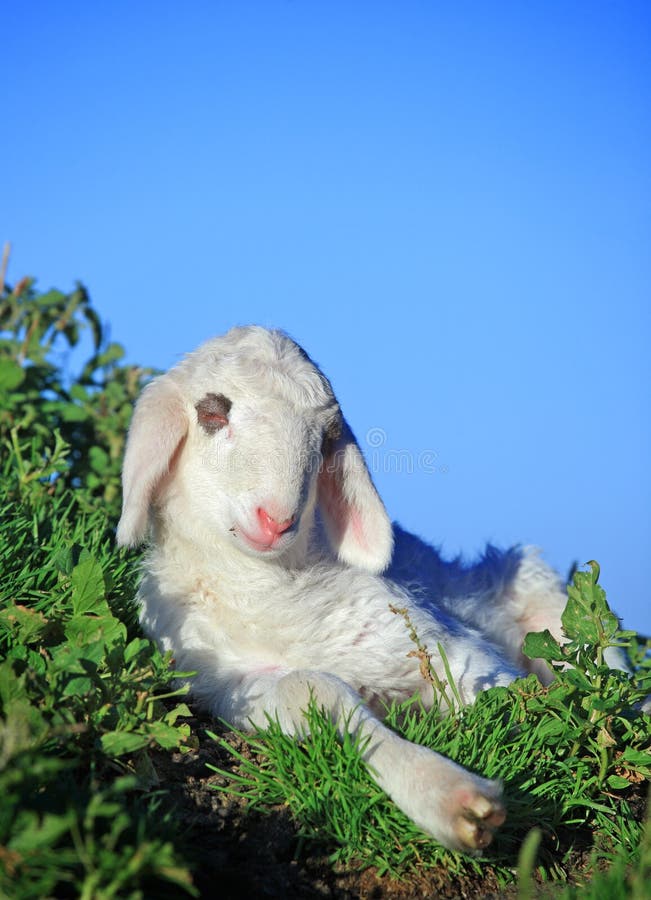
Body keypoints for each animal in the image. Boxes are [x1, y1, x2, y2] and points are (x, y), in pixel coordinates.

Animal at [117, 326, 576, 856]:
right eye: (212, 413)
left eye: (325, 439)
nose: (276, 521)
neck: (269, 587)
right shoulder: (232, 687)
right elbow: (314, 692)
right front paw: (449, 799)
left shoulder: (453, 651)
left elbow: (511, 701)